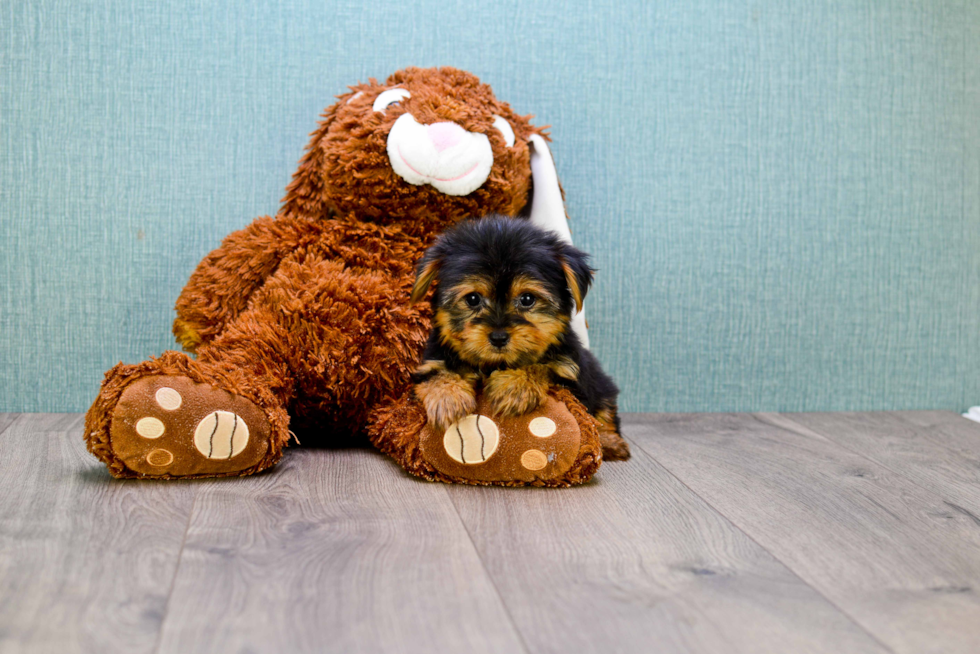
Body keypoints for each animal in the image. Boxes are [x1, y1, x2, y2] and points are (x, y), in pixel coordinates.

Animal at [410, 215, 632, 462]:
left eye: (527, 299)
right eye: (473, 299)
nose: (498, 337)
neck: (494, 364)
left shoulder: (570, 373)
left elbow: (543, 366)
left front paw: (514, 387)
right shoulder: (430, 362)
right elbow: (437, 374)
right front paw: (447, 398)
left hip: (600, 382)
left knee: (605, 410)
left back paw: (610, 442)